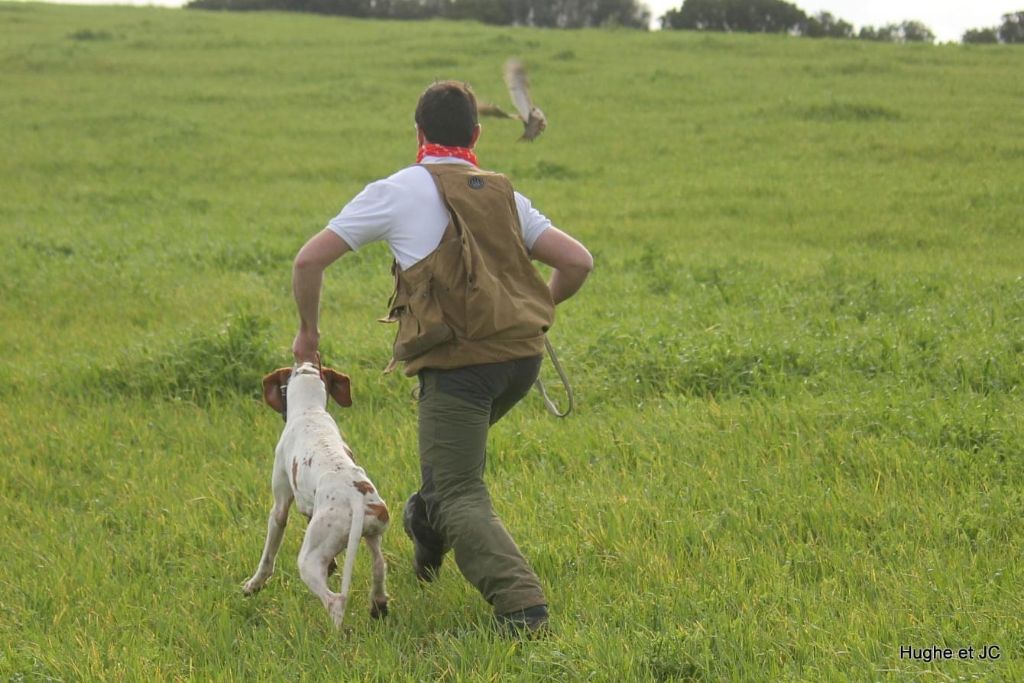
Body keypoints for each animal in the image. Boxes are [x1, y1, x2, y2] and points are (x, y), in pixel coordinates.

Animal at [241, 360, 389, 626]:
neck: (309, 411)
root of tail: (356, 498)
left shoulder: (280, 507)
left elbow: (268, 556)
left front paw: (253, 585)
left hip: (308, 561)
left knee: (335, 601)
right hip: (373, 535)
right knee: (380, 567)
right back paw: (378, 605)